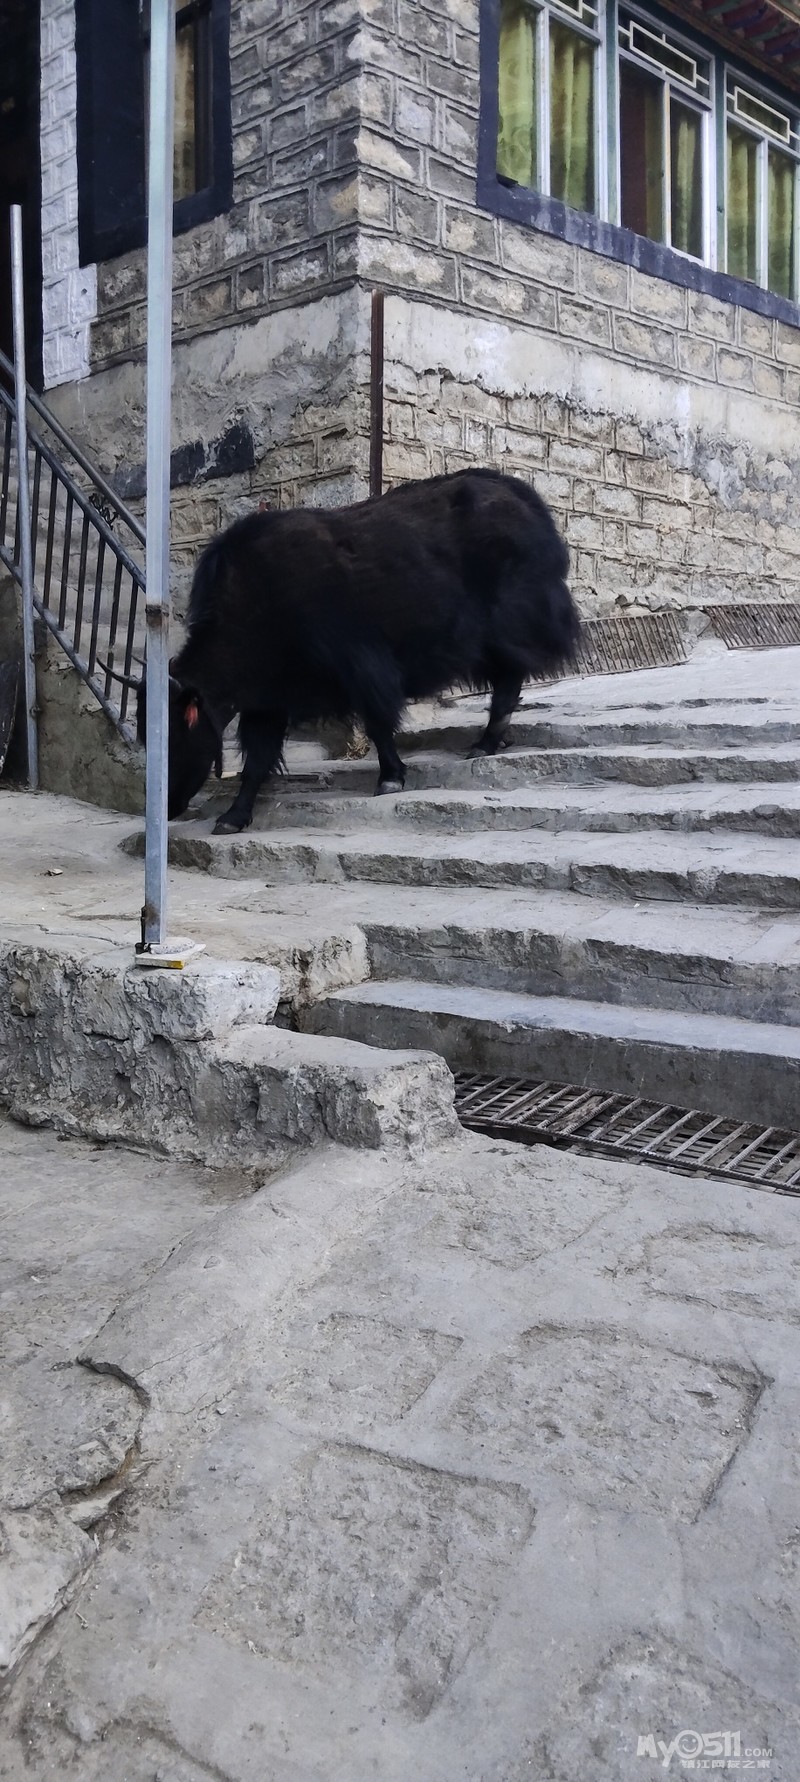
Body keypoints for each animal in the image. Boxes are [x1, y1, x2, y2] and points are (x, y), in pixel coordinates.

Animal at [137, 468, 580, 834]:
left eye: (172, 736)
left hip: (509, 623)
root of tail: (527, 499)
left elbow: (378, 722)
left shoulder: (359, 665)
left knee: (509, 677)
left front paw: (391, 777)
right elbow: (257, 759)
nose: (167, 809)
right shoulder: (267, 699)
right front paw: (233, 816)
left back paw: (486, 742)